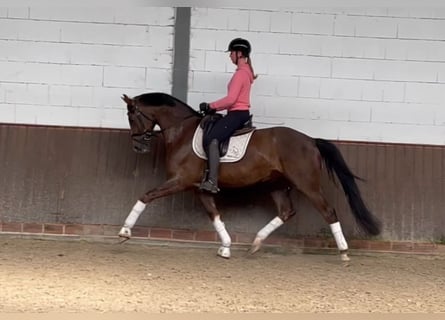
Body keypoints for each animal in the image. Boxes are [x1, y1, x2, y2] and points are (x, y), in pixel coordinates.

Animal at [119, 91, 382, 262]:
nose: (138, 147)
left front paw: (124, 232)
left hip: (307, 184)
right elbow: (215, 215)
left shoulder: (180, 181)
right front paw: (226, 247)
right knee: (286, 212)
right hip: (277, 185)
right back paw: (255, 243)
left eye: (132, 116)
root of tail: (310, 141)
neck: (182, 131)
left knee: (328, 211)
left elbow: (146, 196)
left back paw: (344, 252)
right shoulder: (200, 188)